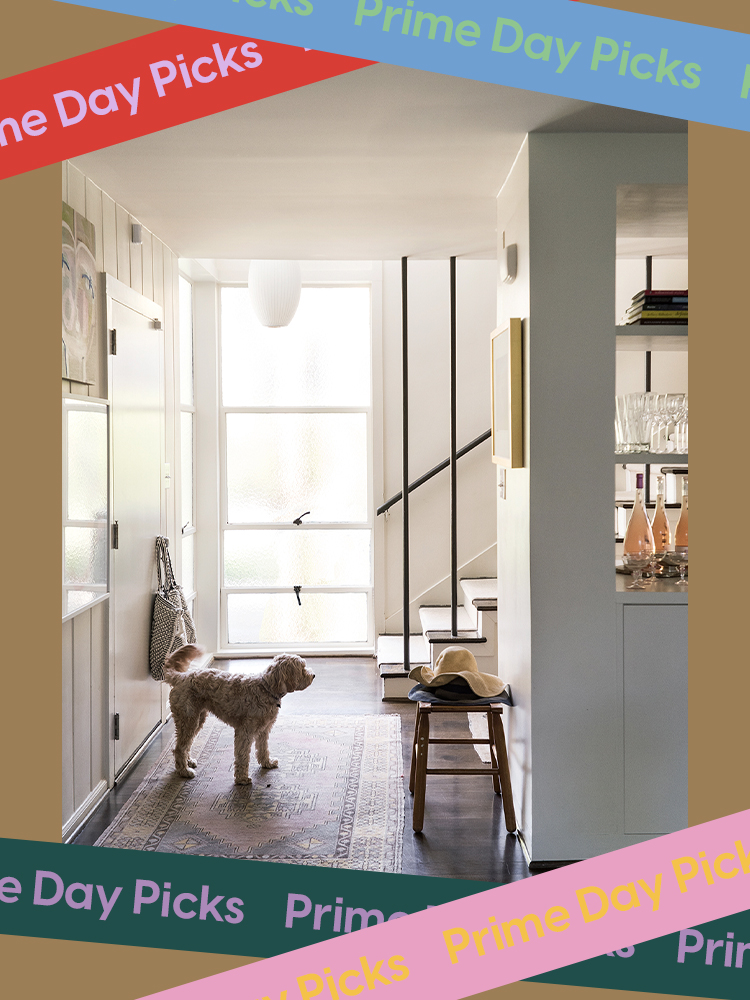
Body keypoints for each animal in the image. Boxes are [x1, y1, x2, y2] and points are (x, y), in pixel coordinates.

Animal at [163, 644, 316, 784]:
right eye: (302, 668)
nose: (313, 675)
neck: (266, 689)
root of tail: (181, 677)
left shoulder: (264, 730)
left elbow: (263, 748)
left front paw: (267, 763)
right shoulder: (245, 731)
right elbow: (242, 755)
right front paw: (242, 779)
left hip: (198, 719)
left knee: (186, 744)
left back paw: (188, 761)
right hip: (188, 720)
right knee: (179, 748)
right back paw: (184, 771)